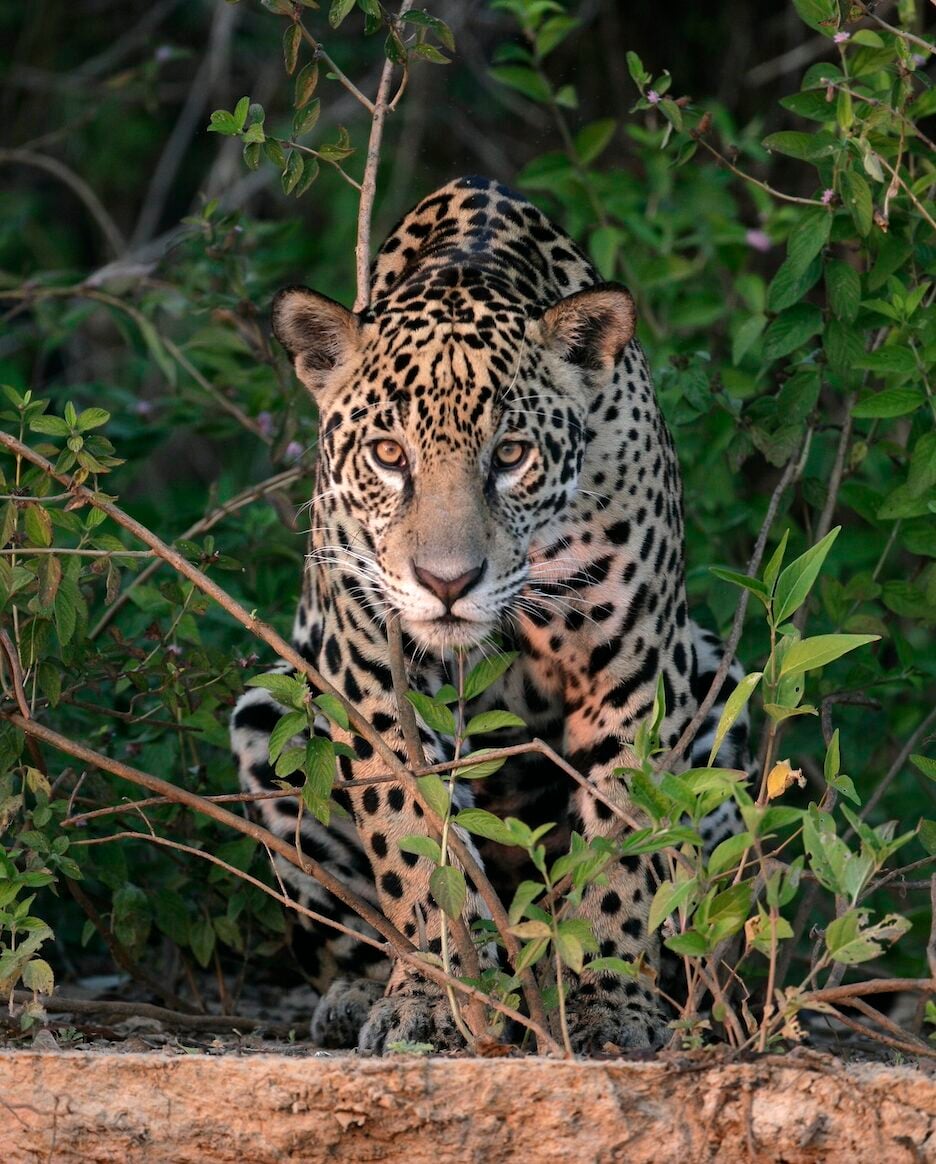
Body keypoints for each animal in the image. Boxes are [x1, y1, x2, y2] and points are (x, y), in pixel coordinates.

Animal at [231, 175, 748, 1055]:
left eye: (510, 455)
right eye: (389, 455)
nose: (447, 582)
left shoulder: (635, 672)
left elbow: (623, 847)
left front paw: (608, 1001)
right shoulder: (375, 670)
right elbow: (413, 840)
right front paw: (438, 1001)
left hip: (719, 689)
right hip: (271, 710)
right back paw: (357, 997)